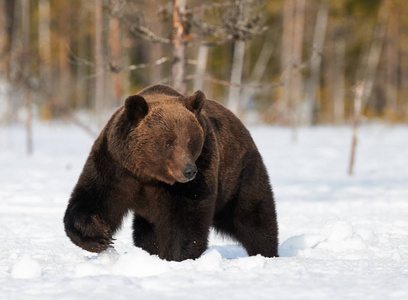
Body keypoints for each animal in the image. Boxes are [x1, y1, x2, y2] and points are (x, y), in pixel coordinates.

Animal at [63, 84, 278, 260]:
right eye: (169, 142)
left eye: (190, 141)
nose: (189, 171)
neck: (148, 174)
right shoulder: (116, 166)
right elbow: (92, 198)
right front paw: (99, 236)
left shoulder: (199, 170)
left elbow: (186, 220)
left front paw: (176, 256)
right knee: (145, 232)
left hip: (239, 175)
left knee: (254, 217)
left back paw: (267, 252)